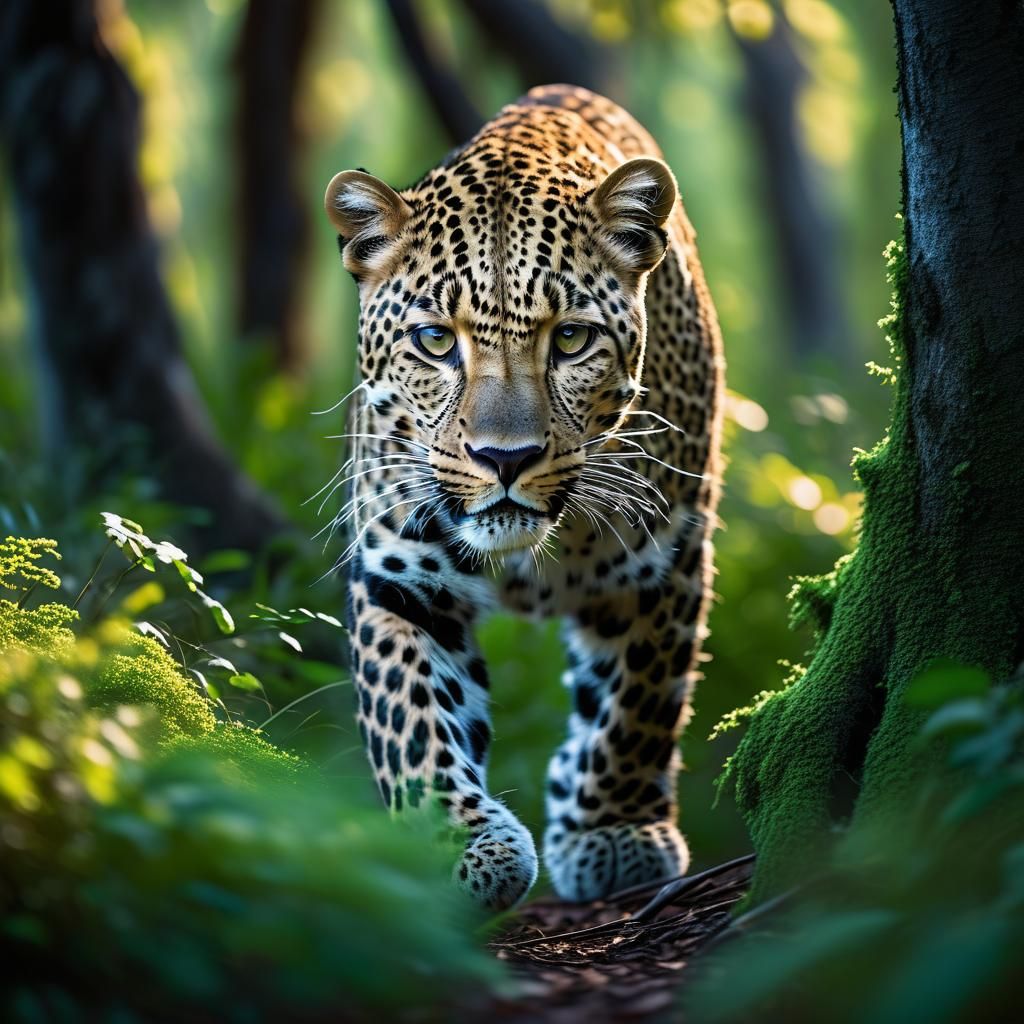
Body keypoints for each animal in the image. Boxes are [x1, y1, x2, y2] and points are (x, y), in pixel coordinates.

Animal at [322, 84, 723, 911]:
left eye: (570, 340)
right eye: (435, 342)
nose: (504, 459)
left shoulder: (666, 557)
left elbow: (639, 699)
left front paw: (616, 832)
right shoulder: (398, 572)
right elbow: (412, 714)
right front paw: (464, 846)